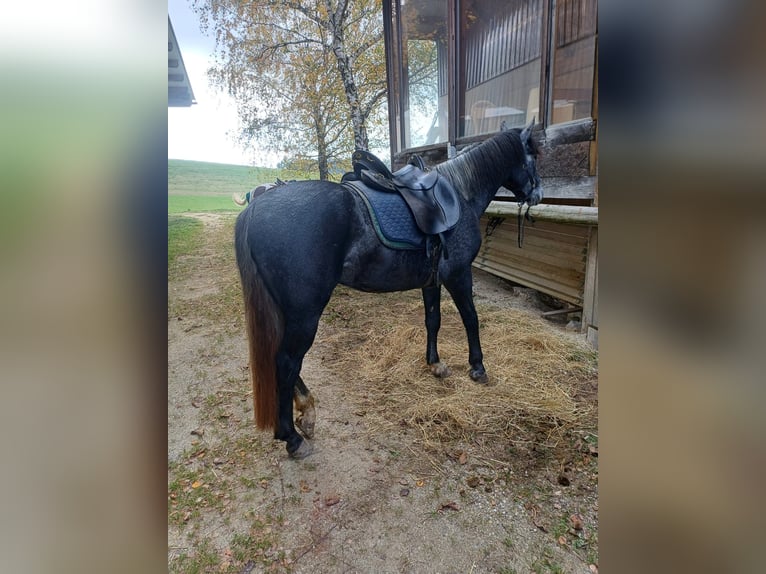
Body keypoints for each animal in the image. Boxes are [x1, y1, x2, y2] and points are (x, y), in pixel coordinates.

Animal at [237, 124, 544, 462]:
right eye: (532, 156)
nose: (538, 194)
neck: (459, 194)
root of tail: (256, 207)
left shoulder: (432, 280)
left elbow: (433, 321)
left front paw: (435, 364)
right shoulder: (459, 275)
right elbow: (470, 320)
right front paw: (477, 368)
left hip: (288, 311)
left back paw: (307, 412)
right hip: (305, 312)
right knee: (286, 362)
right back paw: (292, 437)